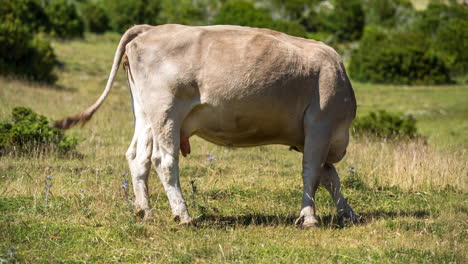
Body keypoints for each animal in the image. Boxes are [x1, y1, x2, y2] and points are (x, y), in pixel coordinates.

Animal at [53, 23, 358, 228]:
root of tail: (150, 29)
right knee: (163, 160)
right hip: (166, 111)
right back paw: (183, 215)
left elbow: (330, 177)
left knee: (137, 157)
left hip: (146, 113)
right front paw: (309, 218)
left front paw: (348, 212)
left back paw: (145, 211)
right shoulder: (320, 123)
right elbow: (313, 174)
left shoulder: (312, 136)